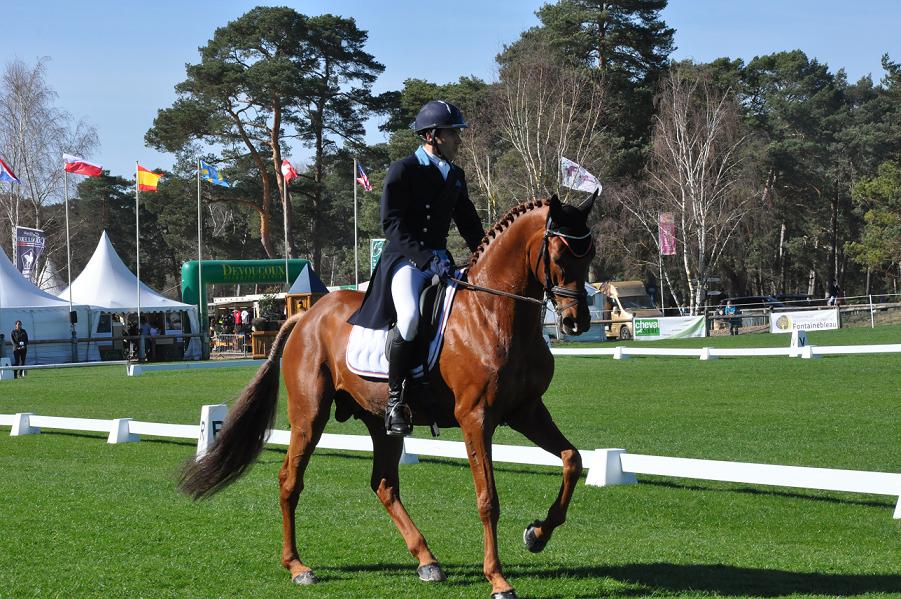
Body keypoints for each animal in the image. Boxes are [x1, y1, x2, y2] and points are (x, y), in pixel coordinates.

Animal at [179, 195, 596, 596]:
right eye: (559, 255)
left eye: (589, 254)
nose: (576, 322)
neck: (492, 313)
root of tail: (306, 316)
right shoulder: (476, 418)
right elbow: (487, 499)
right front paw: (498, 580)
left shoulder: (527, 410)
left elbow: (572, 460)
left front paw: (536, 535)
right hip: (309, 416)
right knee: (289, 480)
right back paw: (298, 567)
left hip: (381, 421)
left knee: (383, 483)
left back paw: (427, 561)